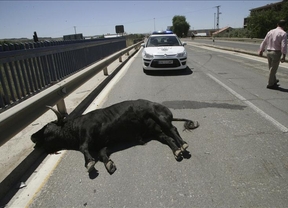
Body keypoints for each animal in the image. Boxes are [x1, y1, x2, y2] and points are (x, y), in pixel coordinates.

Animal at [31, 99, 198, 174]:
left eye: (47, 127)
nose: (33, 137)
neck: (76, 127)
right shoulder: (105, 144)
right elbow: (101, 153)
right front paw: (108, 163)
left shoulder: (88, 132)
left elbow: (83, 147)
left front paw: (89, 163)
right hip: (156, 131)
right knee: (168, 138)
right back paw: (177, 151)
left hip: (158, 116)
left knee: (173, 129)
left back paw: (183, 145)